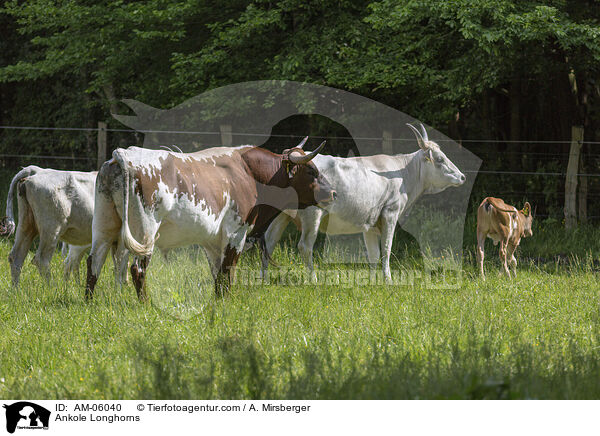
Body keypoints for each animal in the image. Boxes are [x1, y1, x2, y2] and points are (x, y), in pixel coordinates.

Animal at [85, 139, 336, 300]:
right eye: (311, 171)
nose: (333, 192)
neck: (248, 173)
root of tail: (124, 155)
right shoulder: (236, 233)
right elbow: (227, 270)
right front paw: (226, 302)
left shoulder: (212, 240)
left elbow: (218, 273)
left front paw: (219, 300)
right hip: (145, 230)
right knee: (137, 269)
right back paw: (145, 304)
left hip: (103, 225)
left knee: (94, 261)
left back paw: (89, 302)